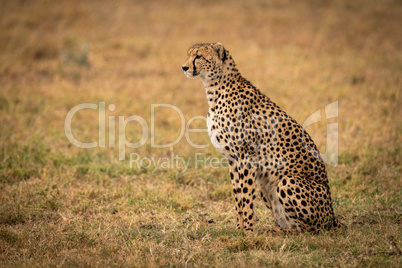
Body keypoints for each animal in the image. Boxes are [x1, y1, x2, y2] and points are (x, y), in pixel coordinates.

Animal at [183, 42, 346, 232]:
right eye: (189, 54)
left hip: (287, 181)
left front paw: (247, 232)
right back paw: (277, 229)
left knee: (310, 229)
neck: (215, 88)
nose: (184, 67)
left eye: (198, 56)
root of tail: (333, 217)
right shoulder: (233, 159)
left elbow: (245, 198)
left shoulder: (246, 157)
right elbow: (238, 197)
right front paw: (239, 230)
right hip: (265, 185)